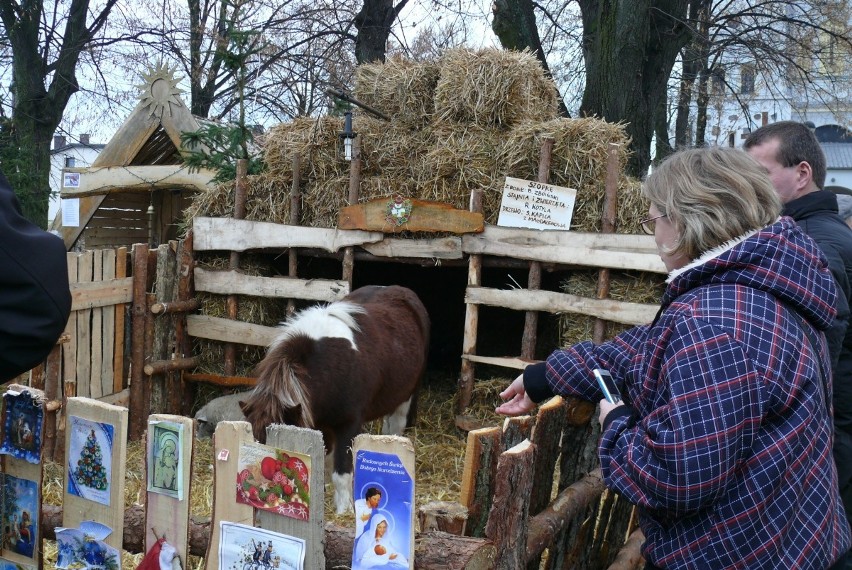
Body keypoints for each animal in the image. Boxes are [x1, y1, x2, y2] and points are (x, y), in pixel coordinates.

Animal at [240, 284, 430, 510]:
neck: (326, 369)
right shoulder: (317, 424)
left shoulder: (348, 425)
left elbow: (341, 473)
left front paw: (343, 509)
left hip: (407, 398)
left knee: (397, 426)